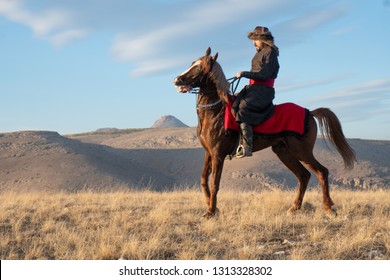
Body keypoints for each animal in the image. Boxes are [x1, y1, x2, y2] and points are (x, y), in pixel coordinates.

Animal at [174, 47, 356, 219]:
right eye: (192, 63)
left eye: (199, 68)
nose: (177, 80)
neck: (214, 112)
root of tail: (309, 112)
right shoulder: (209, 152)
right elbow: (204, 179)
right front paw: (211, 206)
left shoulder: (218, 154)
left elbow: (214, 184)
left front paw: (211, 211)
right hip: (284, 152)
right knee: (304, 176)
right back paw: (294, 208)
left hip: (302, 152)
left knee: (321, 172)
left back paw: (328, 209)